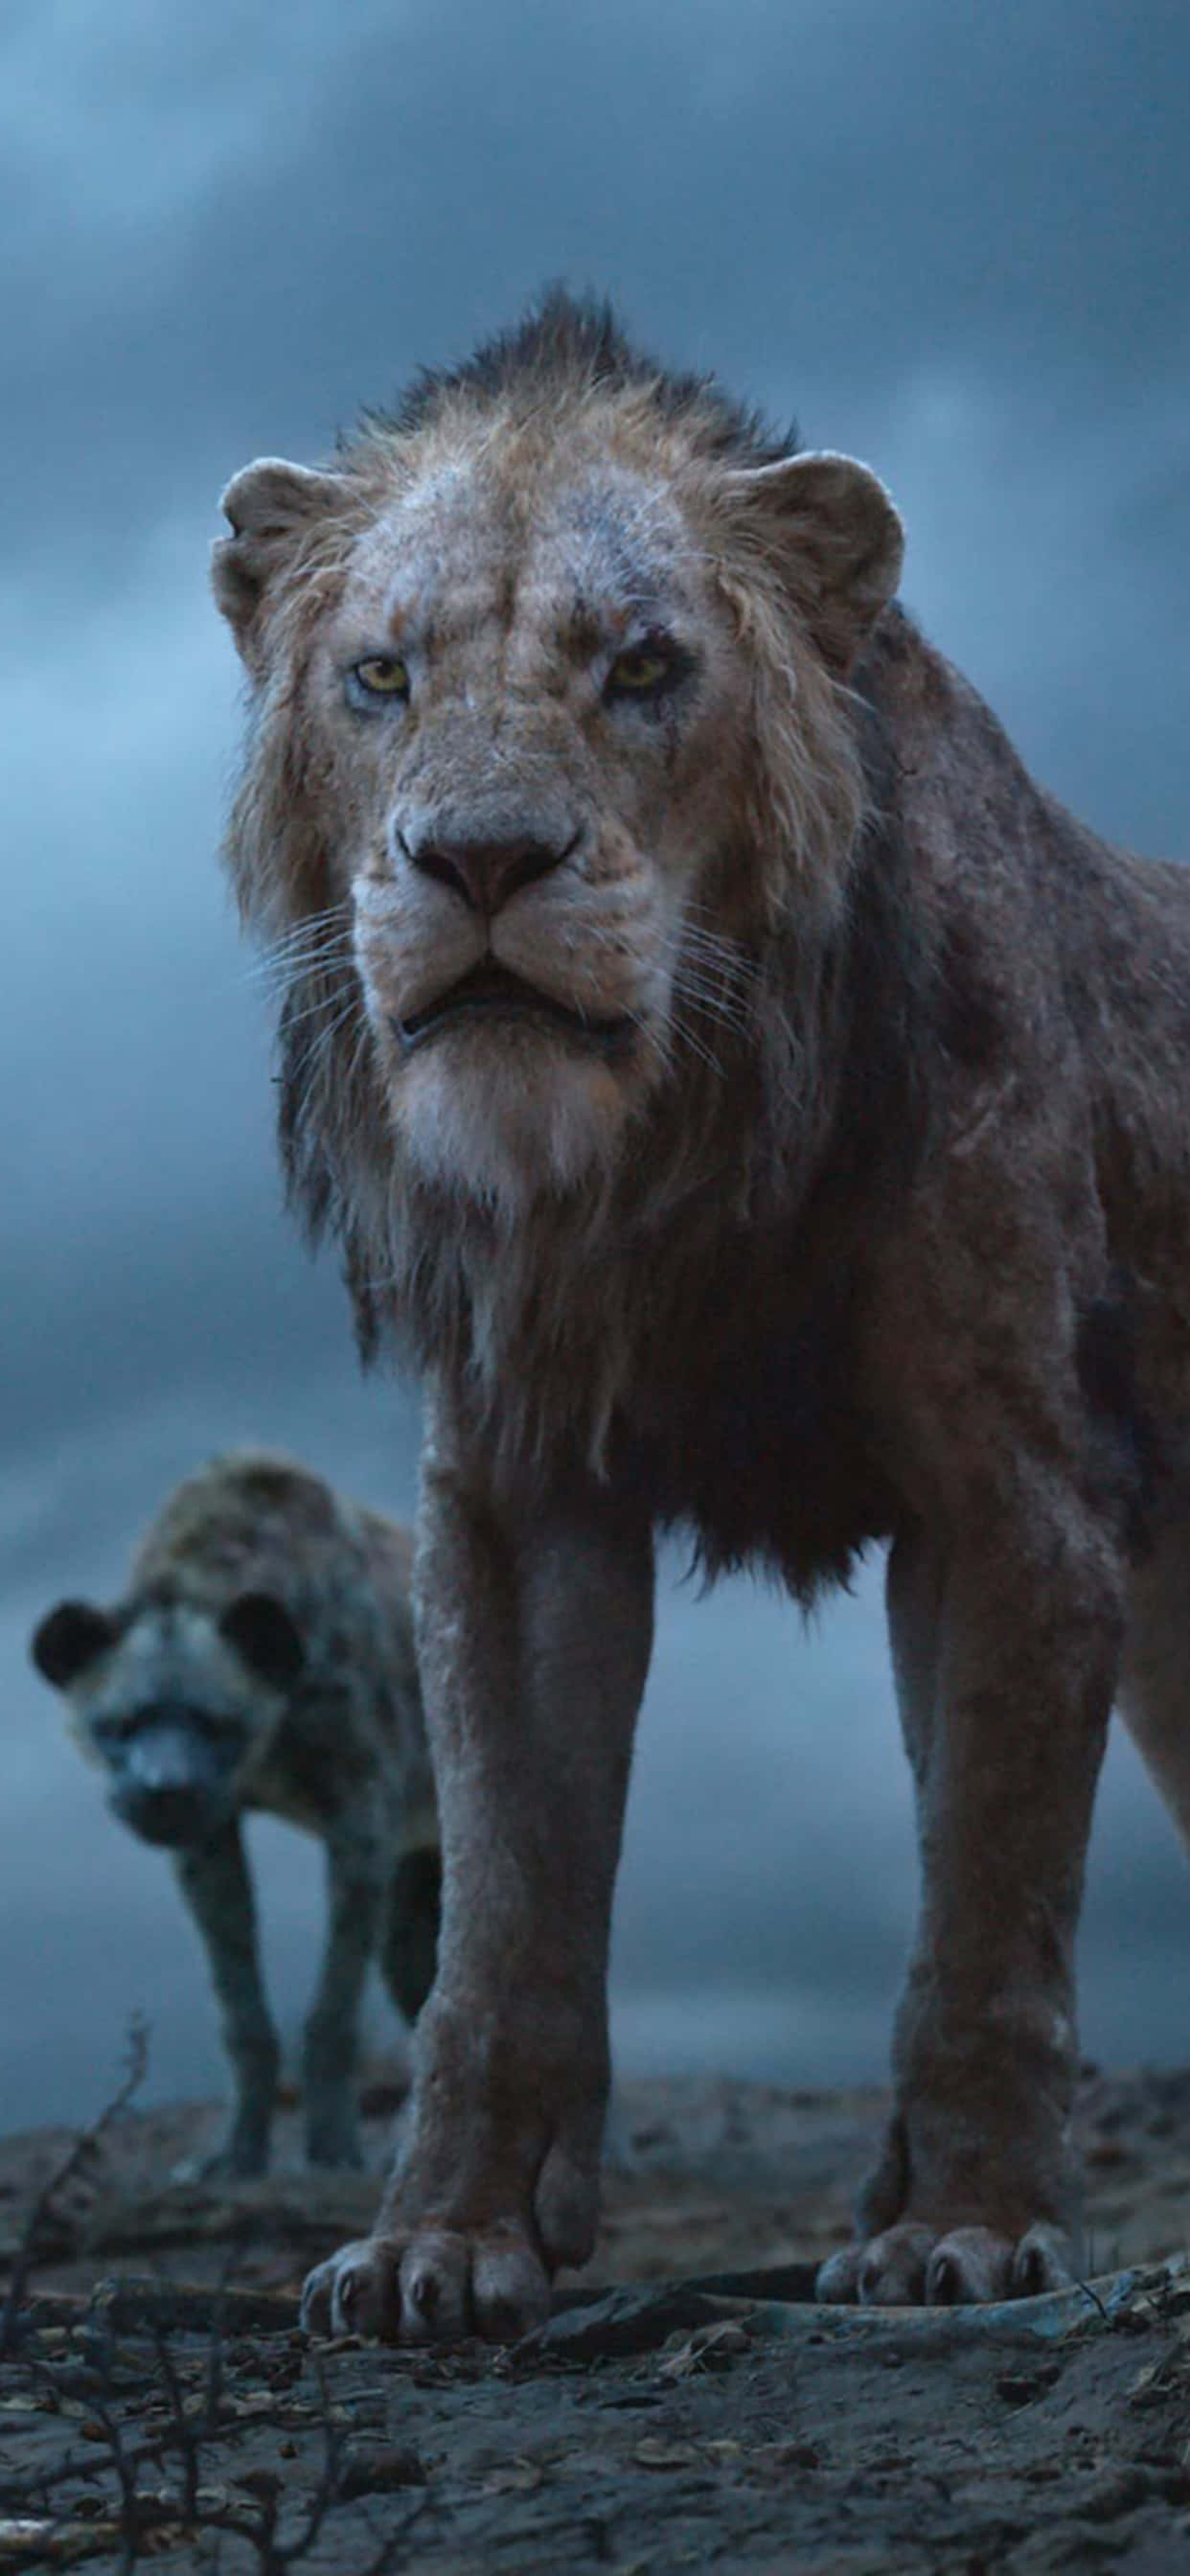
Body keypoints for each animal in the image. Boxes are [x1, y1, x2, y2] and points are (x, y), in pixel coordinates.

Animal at [211, 289, 1190, 2339]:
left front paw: (968, 2225)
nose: (480, 859)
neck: (657, 1150)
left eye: (646, 665)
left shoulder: (1016, 1494)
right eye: (380, 676)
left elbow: (986, 1899)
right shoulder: (512, 1495)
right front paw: (442, 2240)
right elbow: (501, 1913)